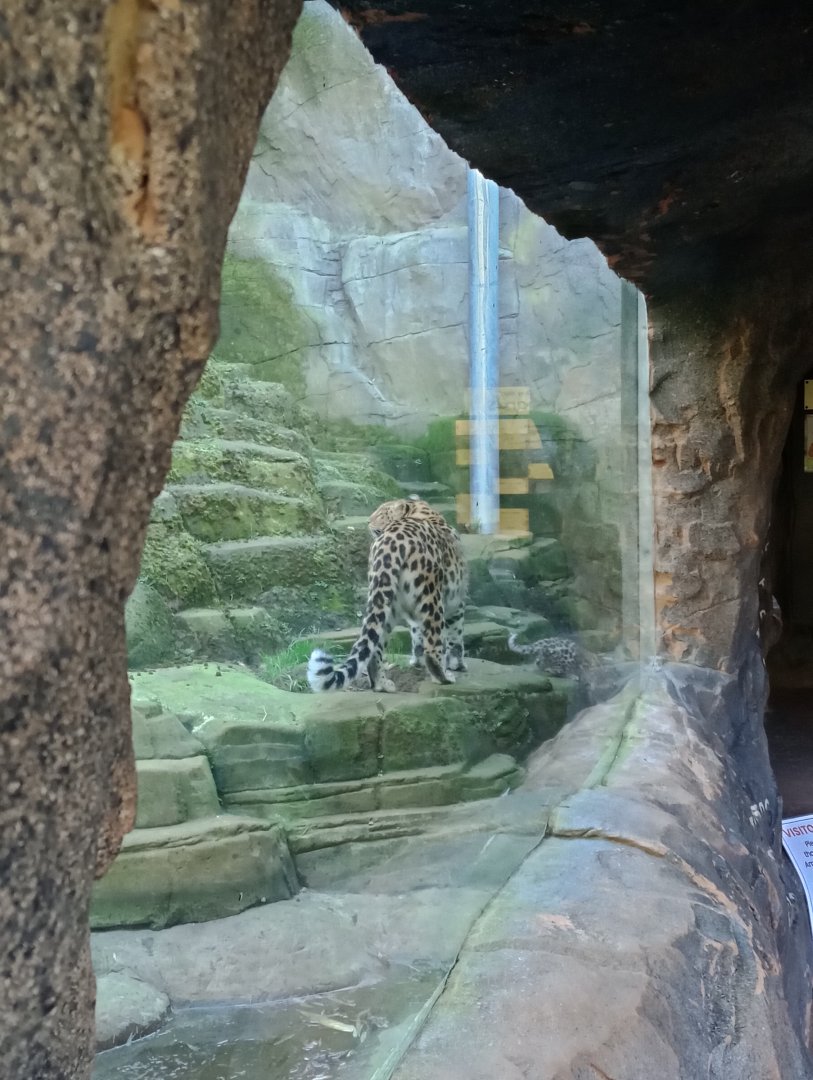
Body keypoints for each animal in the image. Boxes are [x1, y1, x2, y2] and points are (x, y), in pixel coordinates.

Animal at [308, 497, 468, 693]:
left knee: (374, 650)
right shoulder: (457, 602)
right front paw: (457, 665)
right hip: (432, 598)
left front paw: (417, 661)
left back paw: (382, 684)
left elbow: (417, 635)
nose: (368, 521)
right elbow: (456, 636)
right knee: (433, 644)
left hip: (384, 600)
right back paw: (443, 677)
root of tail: (389, 541)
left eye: (381, 513)